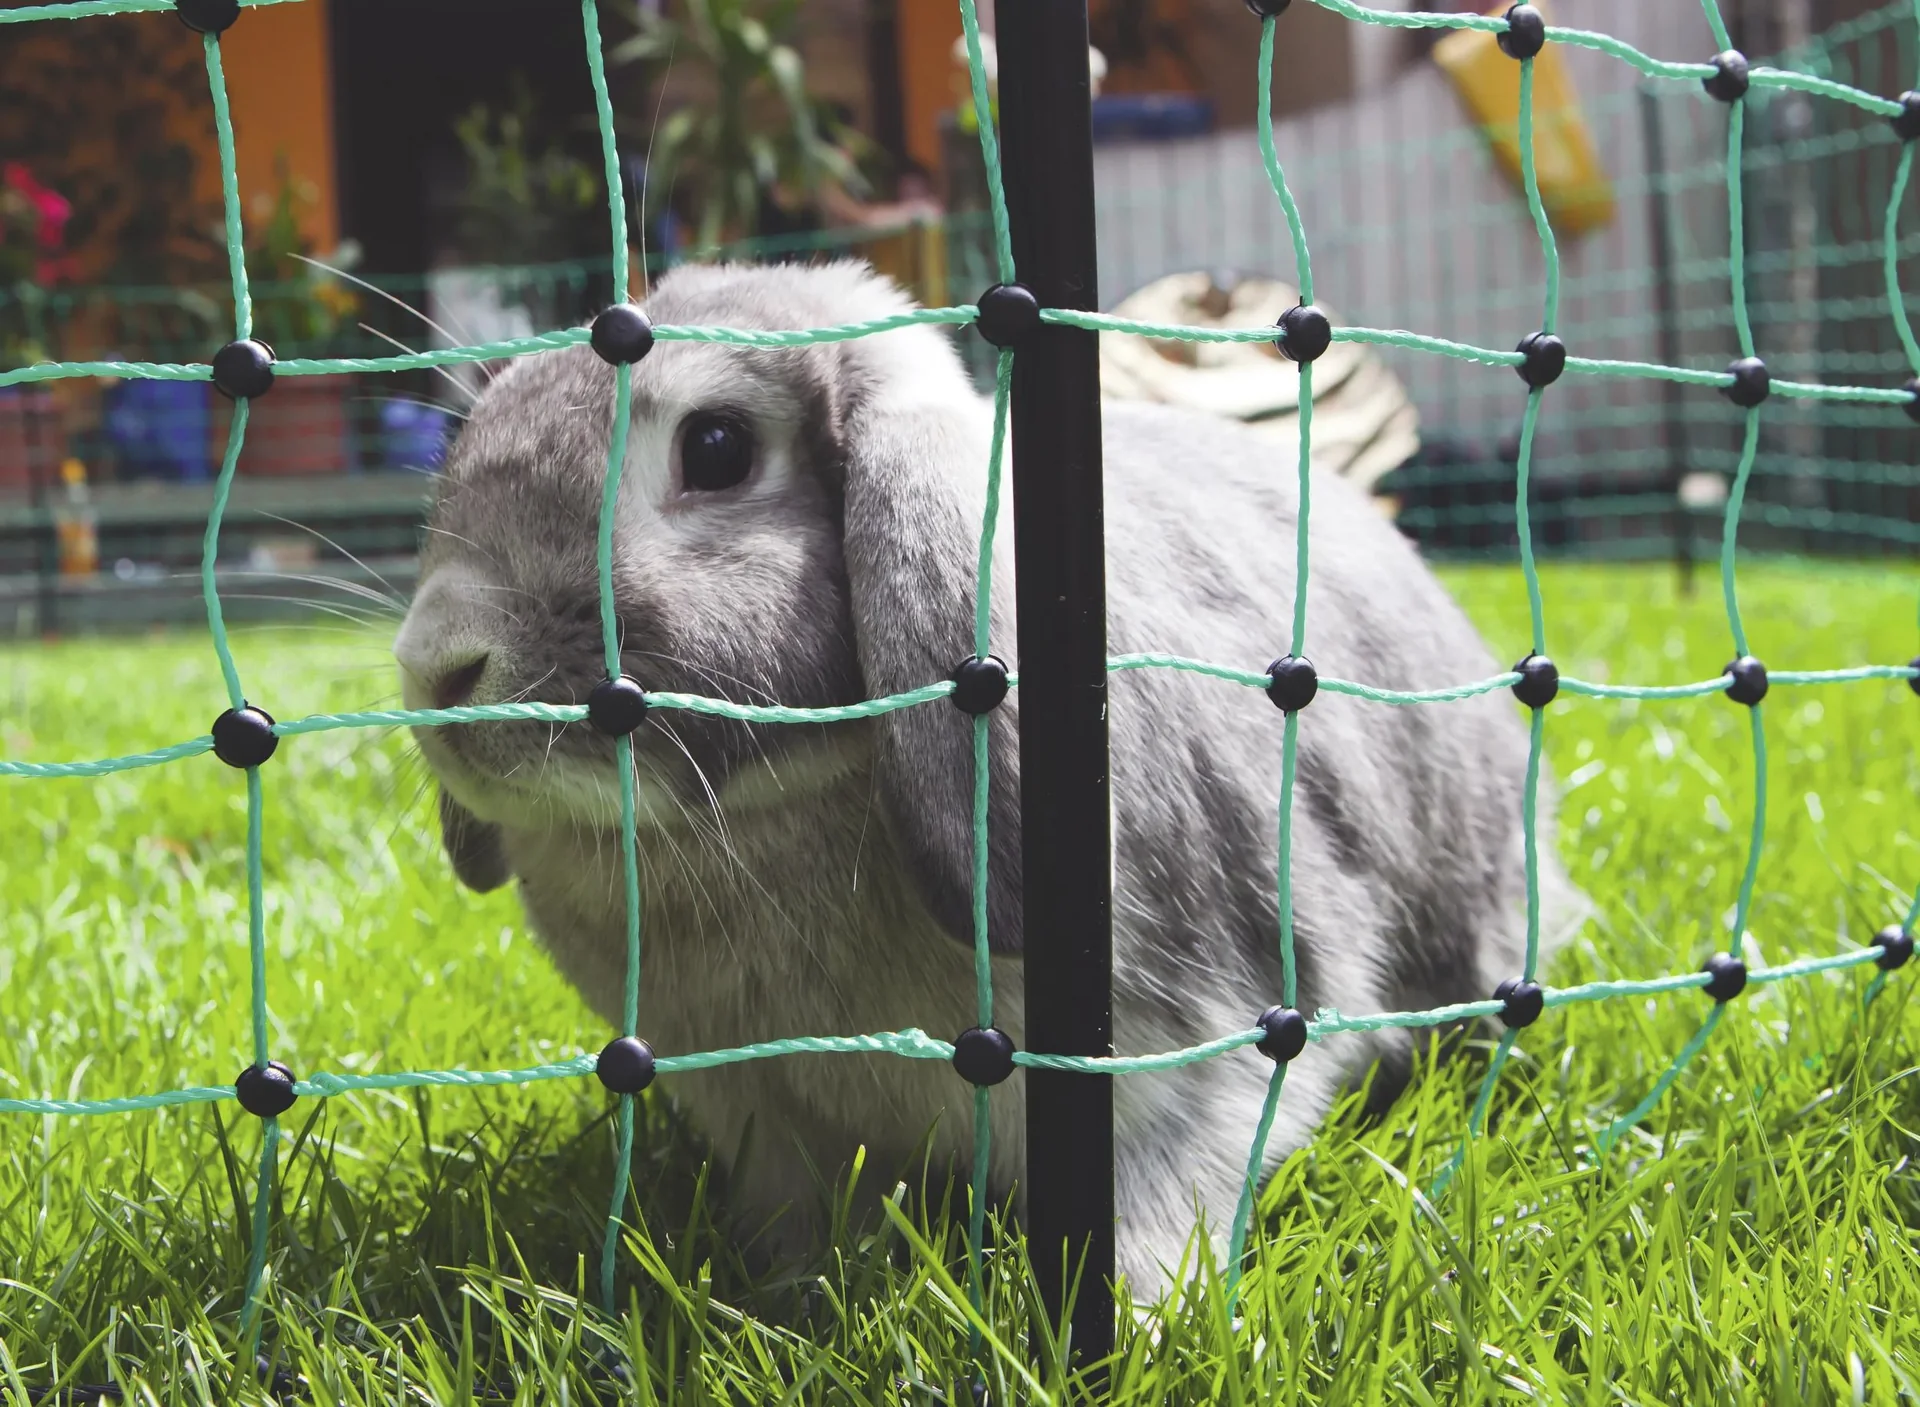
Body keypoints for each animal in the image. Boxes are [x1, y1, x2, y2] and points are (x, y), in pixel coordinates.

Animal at [392, 259, 1588, 1298]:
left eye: (719, 448)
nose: (437, 664)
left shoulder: (1196, 1058)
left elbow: (1165, 1203)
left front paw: (1137, 1323)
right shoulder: (764, 1119)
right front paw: (786, 1304)